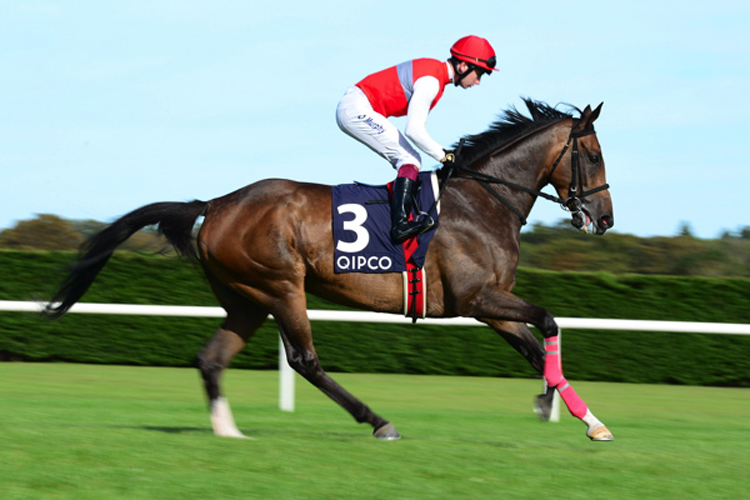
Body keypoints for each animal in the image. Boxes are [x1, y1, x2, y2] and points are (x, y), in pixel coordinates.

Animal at [45, 97, 616, 442]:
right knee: (304, 360)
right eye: (592, 154)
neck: (482, 202)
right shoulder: (475, 298)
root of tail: (217, 203)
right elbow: (548, 322)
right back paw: (378, 421)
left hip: (245, 298)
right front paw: (569, 411)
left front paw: (577, 415)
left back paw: (229, 432)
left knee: (211, 359)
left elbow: (534, 344)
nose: (605, 218)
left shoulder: (490, 304)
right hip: (281, 285)